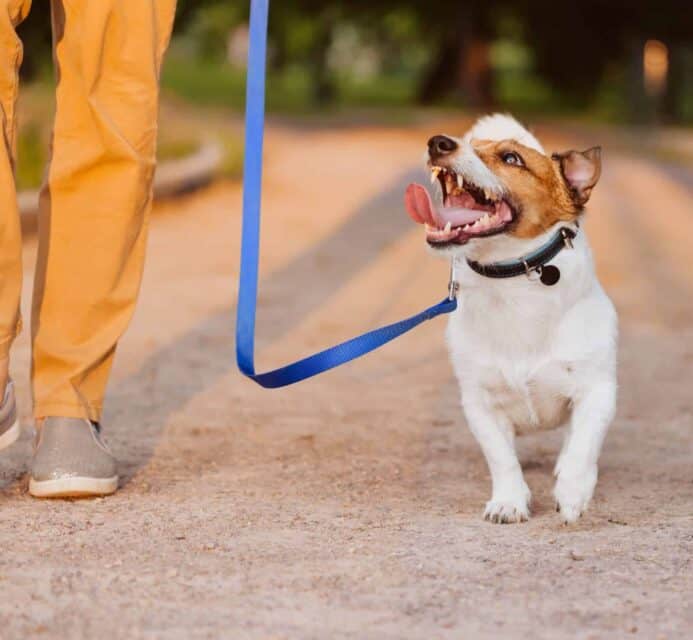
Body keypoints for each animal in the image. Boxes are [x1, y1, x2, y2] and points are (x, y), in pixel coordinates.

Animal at [406, 116, 616, 524]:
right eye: (472, 144)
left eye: (511, 158)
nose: (438, 143)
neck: (512, 280)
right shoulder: (479, 403)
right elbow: (502, 458)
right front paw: (509, 501)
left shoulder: (598, 390)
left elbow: (582, 446)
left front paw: (572, 493)